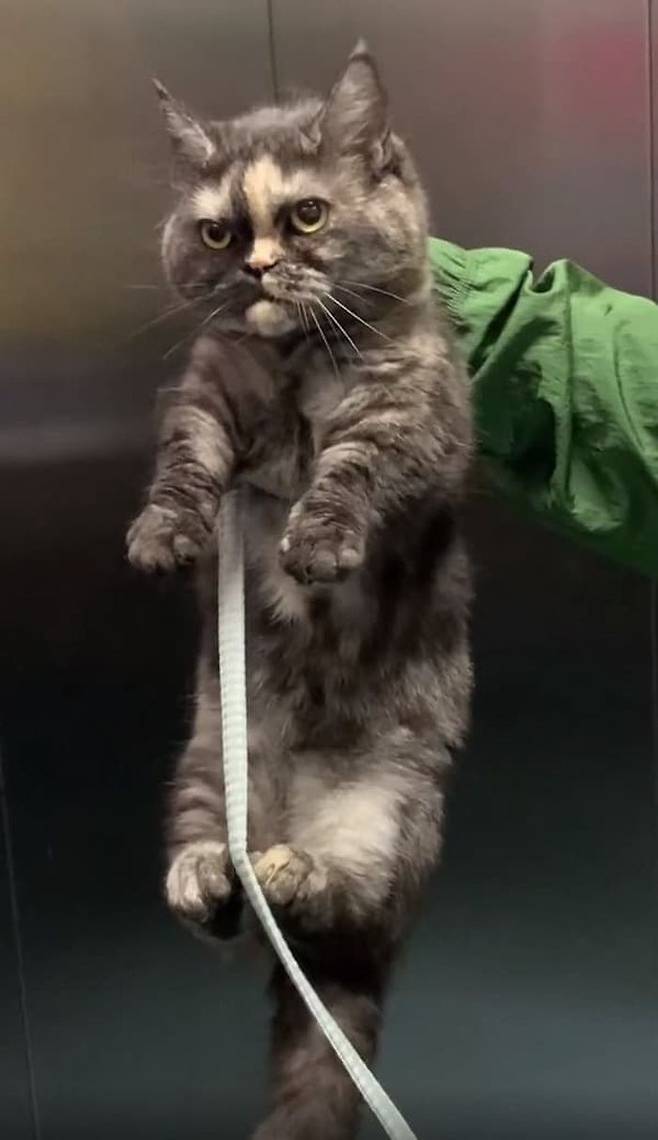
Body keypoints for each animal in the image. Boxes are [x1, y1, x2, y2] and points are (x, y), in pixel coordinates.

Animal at [127, 42, 473, 1140]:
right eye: (219, 229)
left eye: (307, 215)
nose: (257, 267)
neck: (294, 368)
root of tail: (280, 823)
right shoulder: (203, 396)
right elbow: (183, 468)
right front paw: (165, 533)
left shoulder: (409, 417)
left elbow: (349, 473)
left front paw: (315, 541)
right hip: (206, 774)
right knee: (219, 911)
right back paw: (213, 873)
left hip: (389, 822)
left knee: (338, 903)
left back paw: (293, 871)